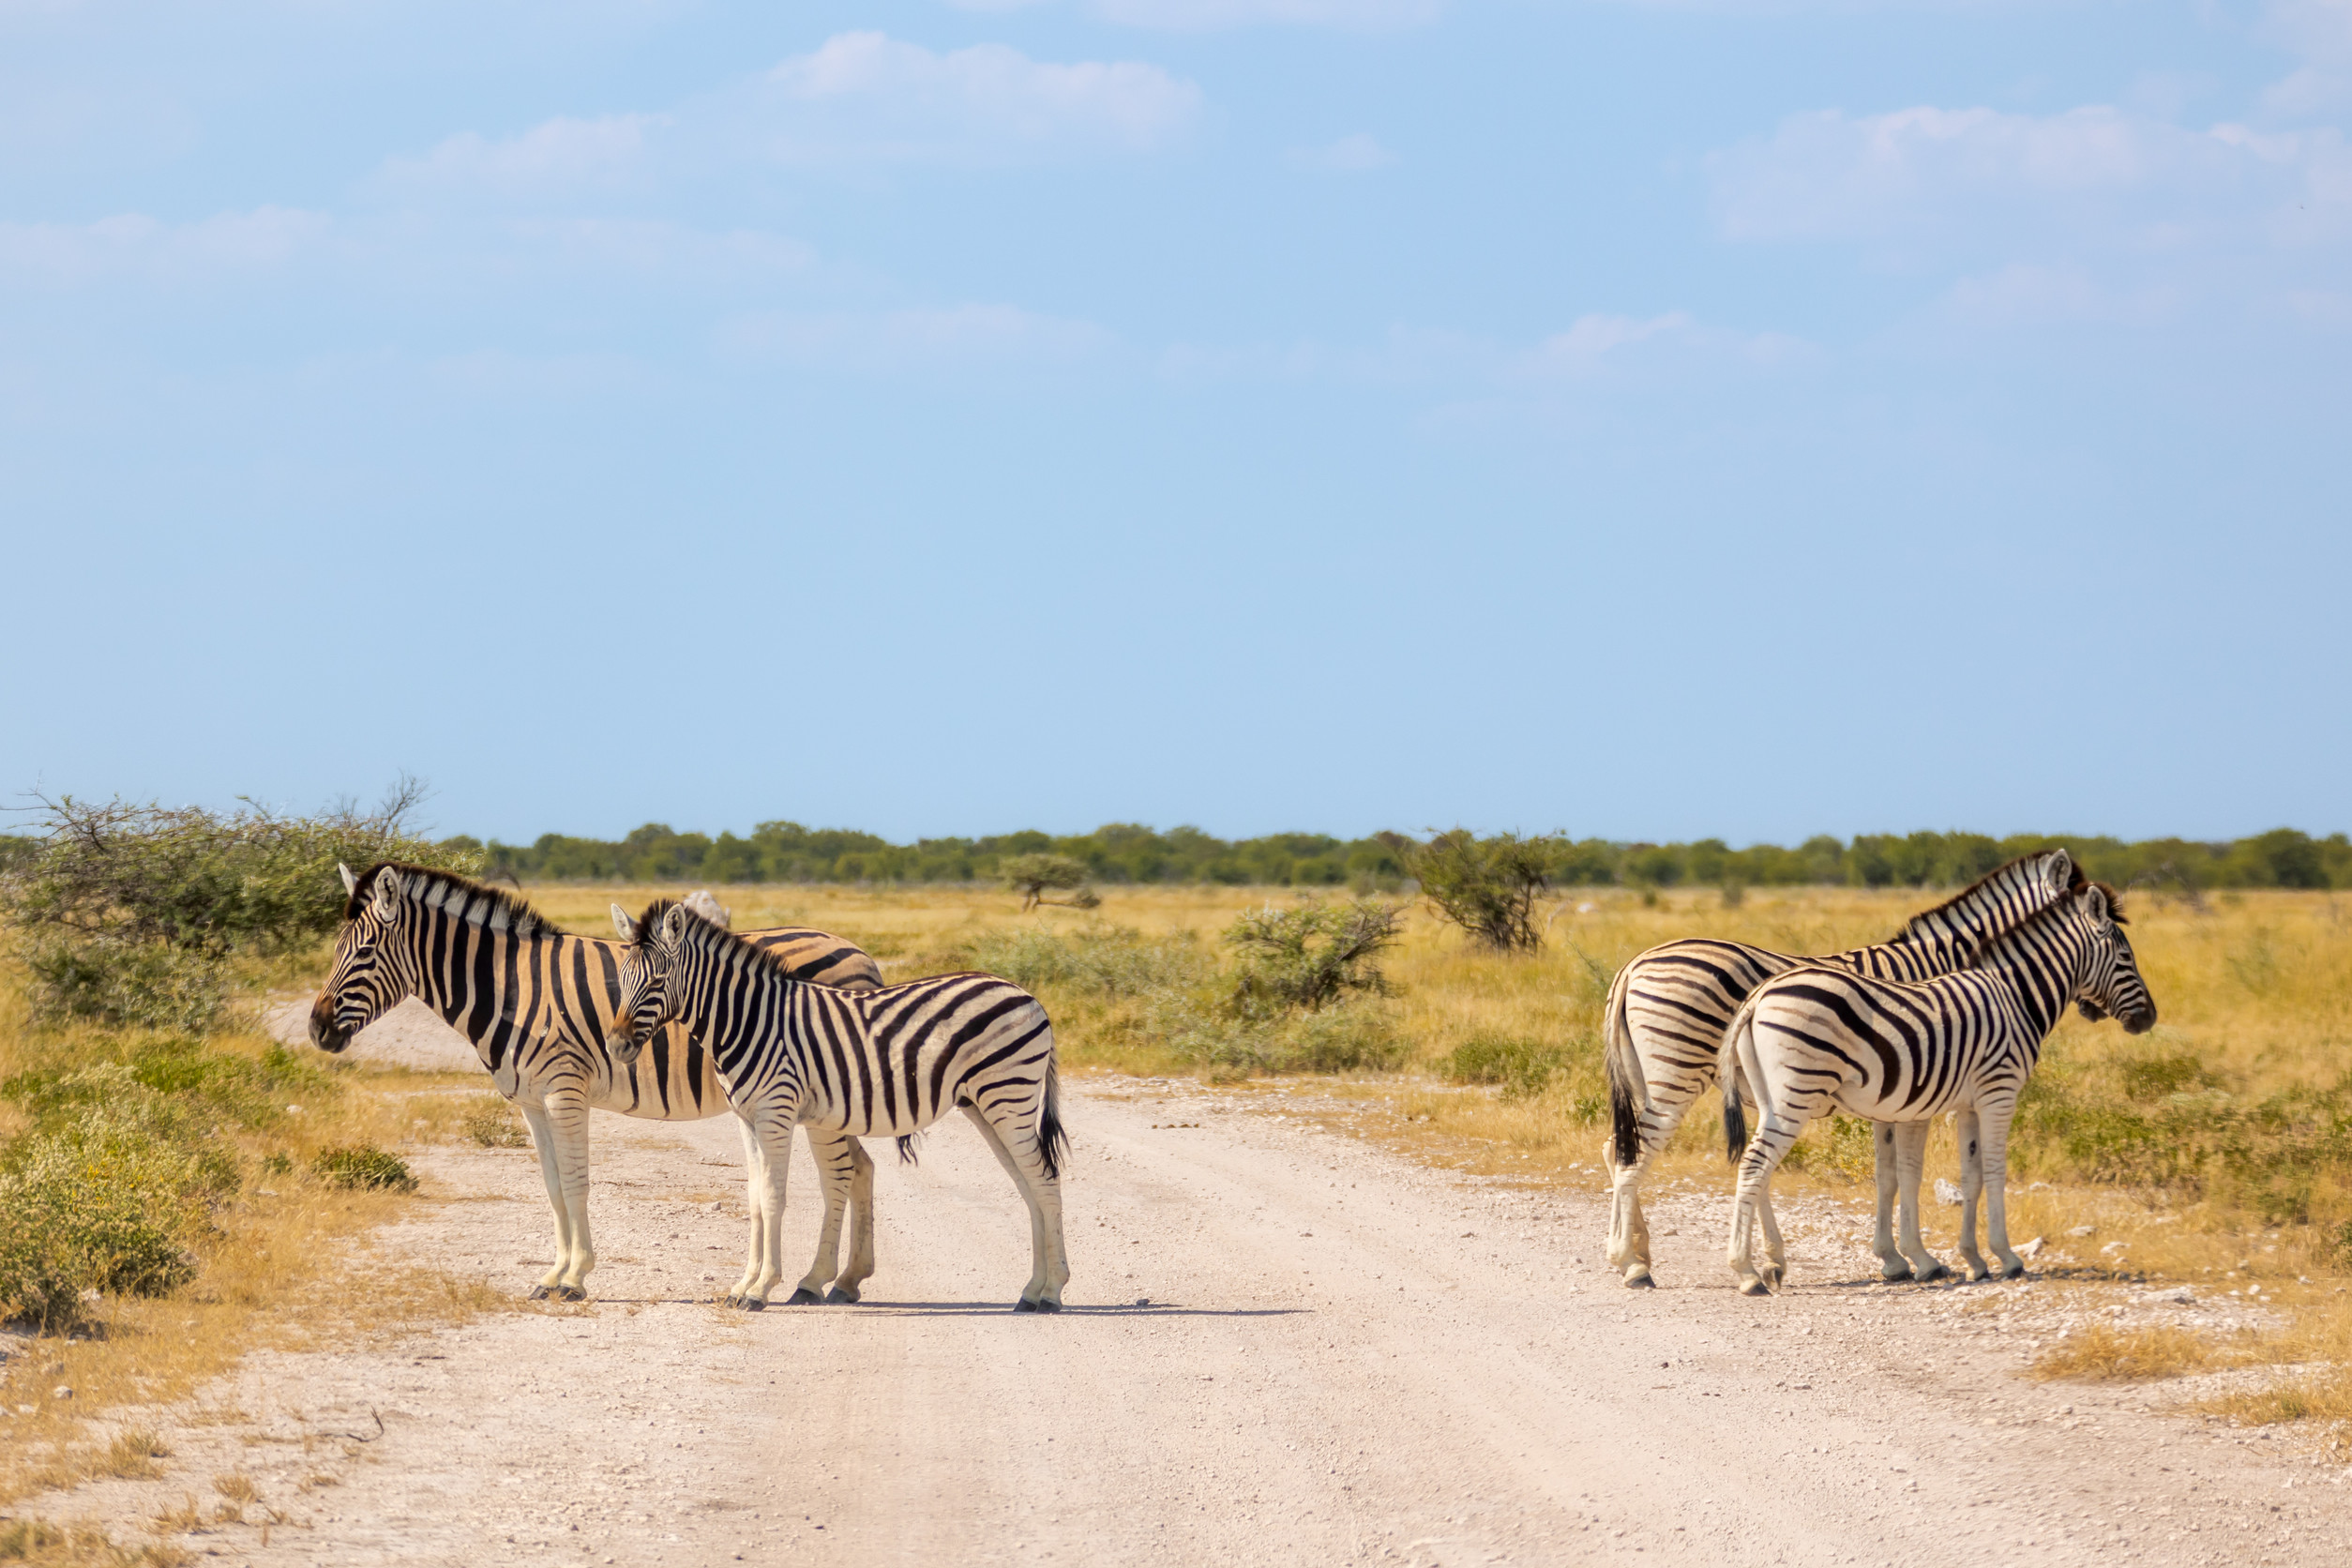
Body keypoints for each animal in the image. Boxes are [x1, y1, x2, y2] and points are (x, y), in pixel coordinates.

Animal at [309, 862, 885, 1304]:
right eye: (335, 950)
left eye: (362, 954)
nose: (316, 1029)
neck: (511, 989)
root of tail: (858, 949)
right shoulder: (531, 1102)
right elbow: (551, 1186)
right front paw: (551, 1275)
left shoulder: (565, 1090)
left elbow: (575, 1182)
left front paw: (574, 1278)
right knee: (861, 1166)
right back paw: (848, 1280)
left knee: (838, 1174)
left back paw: (813, 1282)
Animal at [610, 896, 1071, 1312]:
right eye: (622, 978)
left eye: (655, 982)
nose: (616, 1046)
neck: (749, 1020)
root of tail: (1028, 995)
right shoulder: (747, 1118)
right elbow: (755, 1197)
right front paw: (742, 1286)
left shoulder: (776, 1112)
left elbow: (774, 1196)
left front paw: (761, 1290)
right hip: (984, 1105)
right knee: (1028, 1184)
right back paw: (1031, 1291)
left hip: (1008, 1096)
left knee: (1045, 1180)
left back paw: (1051, 1293)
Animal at [1602, 849, 2081, 1288]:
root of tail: (1634, 964)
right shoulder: (1917, 1086)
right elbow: (1900, 1176)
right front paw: (1910, 1259)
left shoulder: (1897, 1094)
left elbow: (1887, 1176)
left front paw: (1893, 1259)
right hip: (1680, 1072)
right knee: (1641, 1151)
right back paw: (1638, 1262)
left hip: (1651, 1079)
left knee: (1618, 1149)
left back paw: (1641, 1254)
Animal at [1720, 878, 2155, 1295]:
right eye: (2125, 958)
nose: (2149, 1019)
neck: (2015, 996)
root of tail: (1758, 996)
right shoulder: (1999, 1091)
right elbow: (1995, 1170)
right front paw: (2006, 1257)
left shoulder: (1968, 1103)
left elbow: (1970, 1176)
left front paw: (1972, 1260)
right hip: (1798, 1090)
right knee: (1756, 1164)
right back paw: (1747, 1272)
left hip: (1771, 1096)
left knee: (1760, 1166)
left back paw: (1771, 1264)